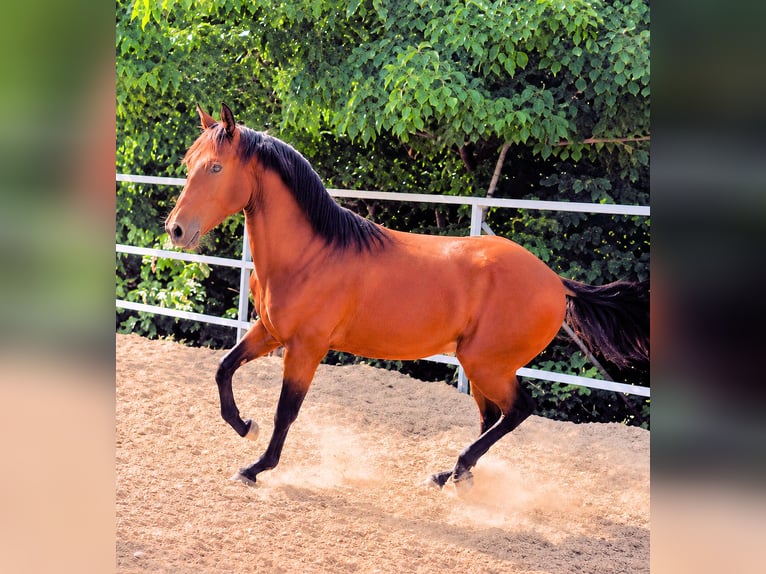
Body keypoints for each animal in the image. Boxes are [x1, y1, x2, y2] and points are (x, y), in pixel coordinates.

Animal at [165, 103, 649, 488]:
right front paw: (243, 426)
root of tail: (555, 282)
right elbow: (223, 369)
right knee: (490, 417)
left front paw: (256, 467)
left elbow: (287, 411)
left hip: (487, 364)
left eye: (216, 168)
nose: (176, 230)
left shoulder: (306, 348)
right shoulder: (269, 331)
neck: (310, 254)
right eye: (191, 162)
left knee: (517, 411)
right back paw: (451, 474)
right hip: (480, 364)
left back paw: (456, 469)